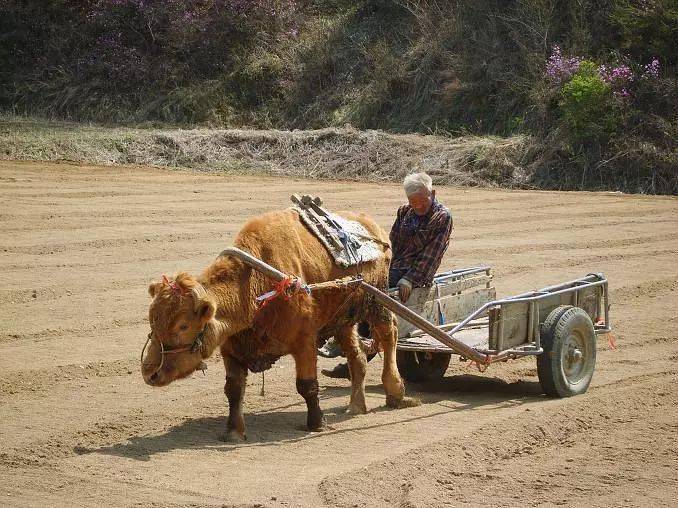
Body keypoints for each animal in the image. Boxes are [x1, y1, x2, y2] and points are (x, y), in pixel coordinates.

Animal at [143, 208, 420, 438]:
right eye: (153, 319)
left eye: (182, 325)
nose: (150, 372)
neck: (254, 284)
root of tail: (375, 230)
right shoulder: (231, 349)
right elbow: (234, 389)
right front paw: (234, 431)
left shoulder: (305, 342)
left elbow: (307, 386)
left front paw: (316, 423)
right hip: (344, 320)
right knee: (357, 356)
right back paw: (355, 406)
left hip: (377, 302)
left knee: (389, 335)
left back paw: (395, 391)